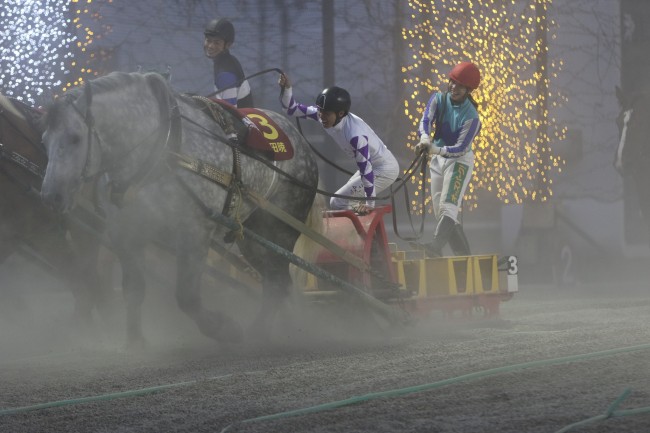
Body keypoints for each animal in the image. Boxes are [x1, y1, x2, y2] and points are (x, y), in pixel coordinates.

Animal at [39, 72, 318, 346]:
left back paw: (259, 334)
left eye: (75, 137)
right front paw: (135, 341)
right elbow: (133, 290)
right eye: (45, 140)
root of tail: (298, 138)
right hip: (252, 235)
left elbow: (187, 297)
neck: (163, 149)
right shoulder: (126, 233)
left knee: (277, 282)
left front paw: (224, 329)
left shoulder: (194, 233)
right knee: (277, 281)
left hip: (280, 229)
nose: (51, 196)